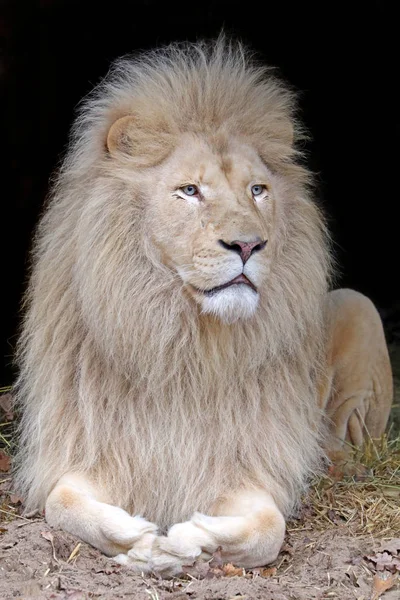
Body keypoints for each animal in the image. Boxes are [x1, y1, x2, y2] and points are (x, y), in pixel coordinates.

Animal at [13, 37, 394, 576]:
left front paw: (190, 542)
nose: (248, 245)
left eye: (258, 190)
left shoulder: (247, 465)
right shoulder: (86, 449)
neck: (186, 343)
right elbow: (61, 502)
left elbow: (268, 528)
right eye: (190, 191)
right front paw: (140, 541)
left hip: (358, 306)